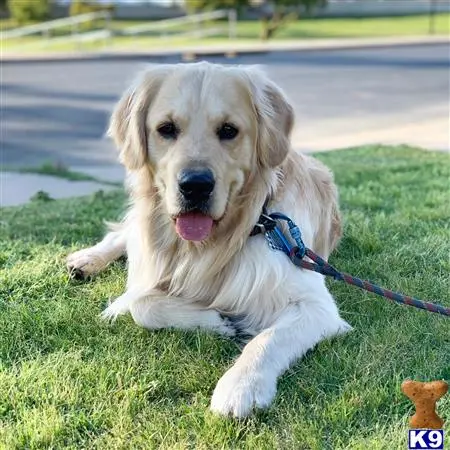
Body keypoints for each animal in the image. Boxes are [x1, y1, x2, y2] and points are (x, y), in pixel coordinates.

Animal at [68, 60, 354, 418]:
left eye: (228, 130)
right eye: (166, 128)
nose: (195, 185)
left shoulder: (315, 305)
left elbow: (268, 339)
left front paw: (240, 386)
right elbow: (141, 304)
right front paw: (217, 322)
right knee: (122, 234)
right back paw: (86, 260)